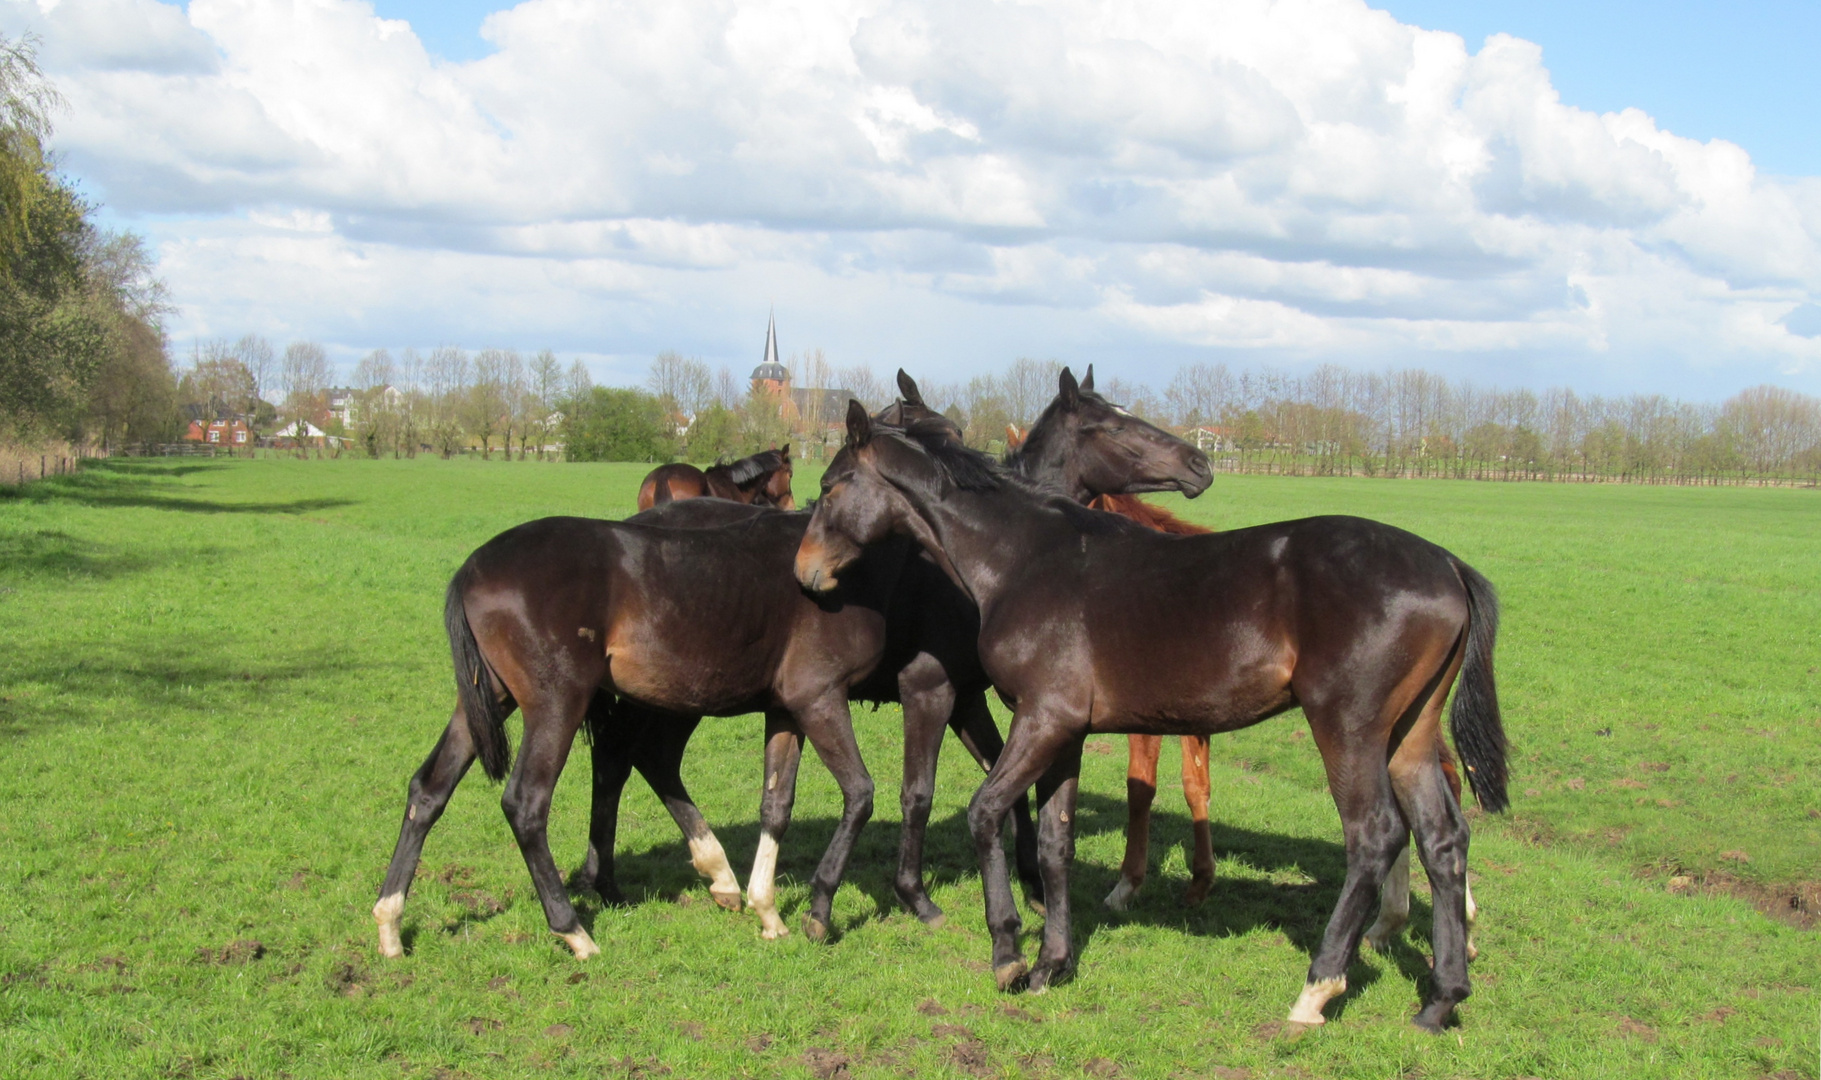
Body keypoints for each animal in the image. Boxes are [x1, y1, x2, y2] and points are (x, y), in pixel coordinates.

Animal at [375, 506, 903, 954]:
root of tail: (471, 568)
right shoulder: (820, 698)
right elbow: (858, 792)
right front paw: (813, 915)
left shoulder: (787, 710)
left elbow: (778, 801)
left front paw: (767, 911)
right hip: (557, 705)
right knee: (526, 803)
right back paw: (574, 930)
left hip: (491, 701)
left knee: (429, 789)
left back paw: (390, 923)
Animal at [797, 391, 1507, 1034]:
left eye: (831, 487)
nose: (805, 574)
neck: (1025, 558)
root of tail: (1447, 564)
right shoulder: (1065, 732)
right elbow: (1054, 841)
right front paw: (1052, 964)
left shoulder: (1041, 719)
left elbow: (985, 814)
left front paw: (1008, 954)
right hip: (1408, 737)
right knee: (1442, 836)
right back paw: (1440, 999)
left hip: (1349, 729)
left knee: (1376, 836)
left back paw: (1318, 988)